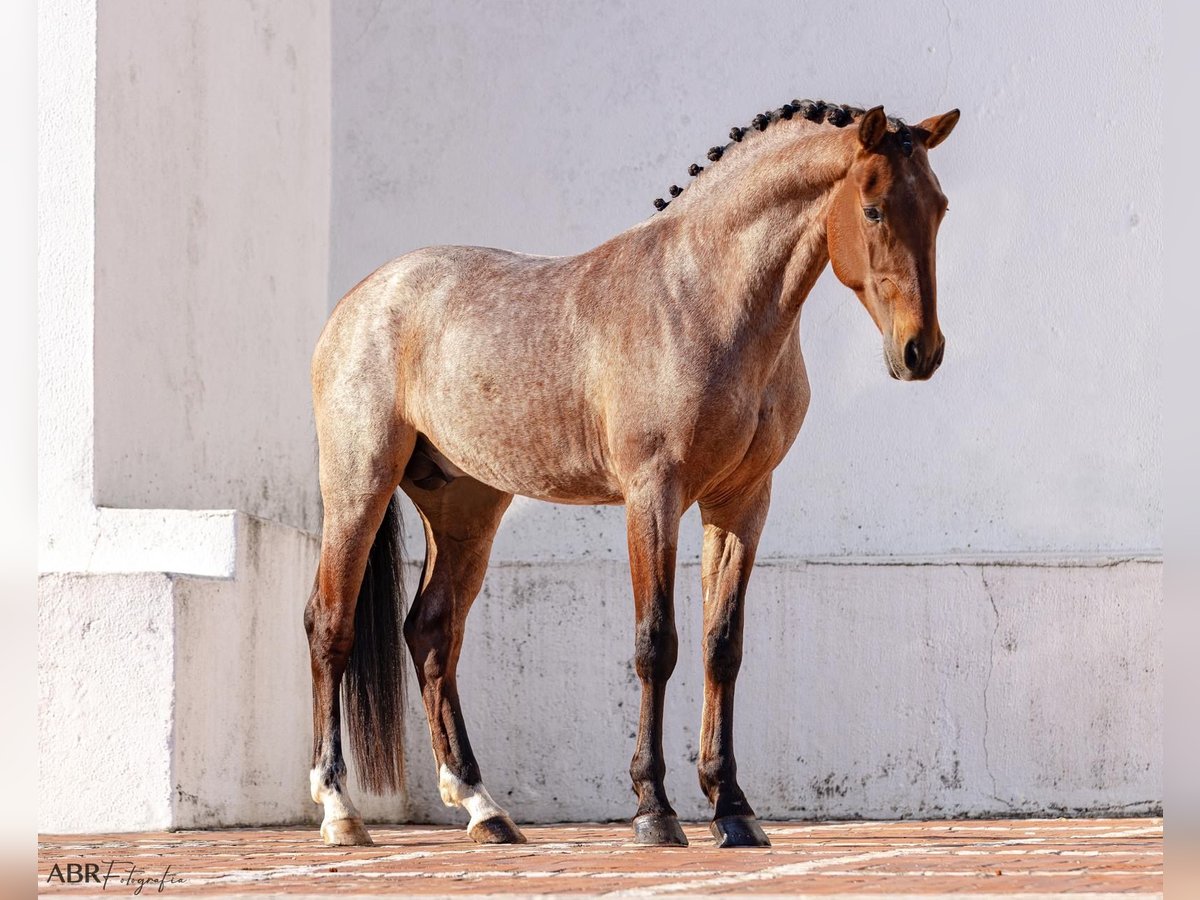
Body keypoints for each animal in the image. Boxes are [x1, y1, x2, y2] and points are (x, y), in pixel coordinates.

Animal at [304, 100, 960, 854]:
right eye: (874, 208)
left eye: (939, 206)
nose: (920, 351)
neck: (704, 296)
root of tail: (361, 300)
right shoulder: (653, 495)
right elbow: (656, 642)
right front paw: (655, 809)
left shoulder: (742, 502)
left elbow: (721, 646)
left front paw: (733, 808)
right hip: (359, 484)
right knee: (329, 625)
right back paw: (339, 808)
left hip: (466, 511)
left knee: (433, 633)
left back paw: (482, 807)